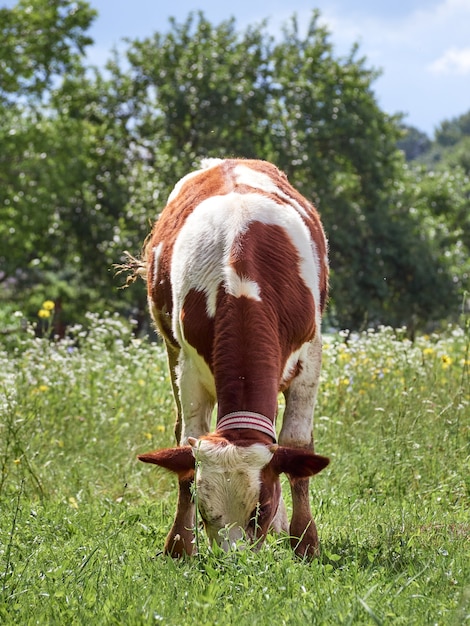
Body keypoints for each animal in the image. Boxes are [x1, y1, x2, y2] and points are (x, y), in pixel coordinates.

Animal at [139, 156, 330, 556]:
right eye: (204, 508)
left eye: (262, 507)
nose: (235, 563)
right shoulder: (189, 370)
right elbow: (187, 444)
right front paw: (180, 544)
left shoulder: (310, 359)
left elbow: (295, 446)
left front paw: (304, 540)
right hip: (171, 352)